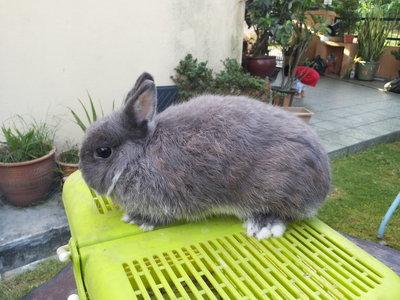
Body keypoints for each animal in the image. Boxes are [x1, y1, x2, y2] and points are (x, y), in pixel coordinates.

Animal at [79, 72, 332, 239]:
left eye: (103, 152)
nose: (82, 174)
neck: (140, 154)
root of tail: (324, 183)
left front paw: (138, 219)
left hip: (278, 189)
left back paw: (263, 225)